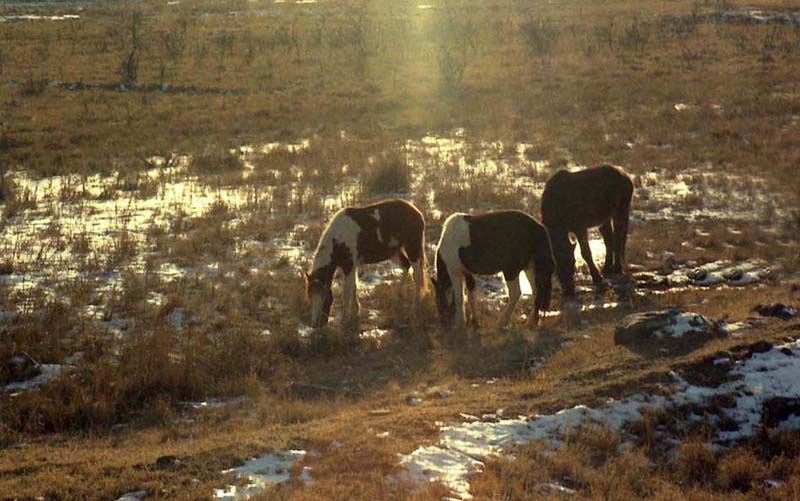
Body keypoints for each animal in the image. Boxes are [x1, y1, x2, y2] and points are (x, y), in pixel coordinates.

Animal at [304, 199, 428, 328]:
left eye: (324, 298)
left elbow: (347, 292)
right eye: (310, 296)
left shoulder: (349, 266)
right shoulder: (351, 266)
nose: (315, 324)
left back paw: (415, 306)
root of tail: (416, 212)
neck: (338, 240)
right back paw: (400, 295)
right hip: (394, 252)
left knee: (417, 276)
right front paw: (355, 311)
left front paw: (345, 319)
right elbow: (353, 287)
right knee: (405, 265)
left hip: (413, 249)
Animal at [540, 164, 636, 296]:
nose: (568, 290)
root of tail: (626, 176)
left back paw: (617, 268)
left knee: (619, 239)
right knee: (609, 240)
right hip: (604, 219)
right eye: (555, 266)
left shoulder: (580, 227)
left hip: (621, 210)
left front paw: (597, 277)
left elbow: (586, 252)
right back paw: (607, 268)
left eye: (572, 262)